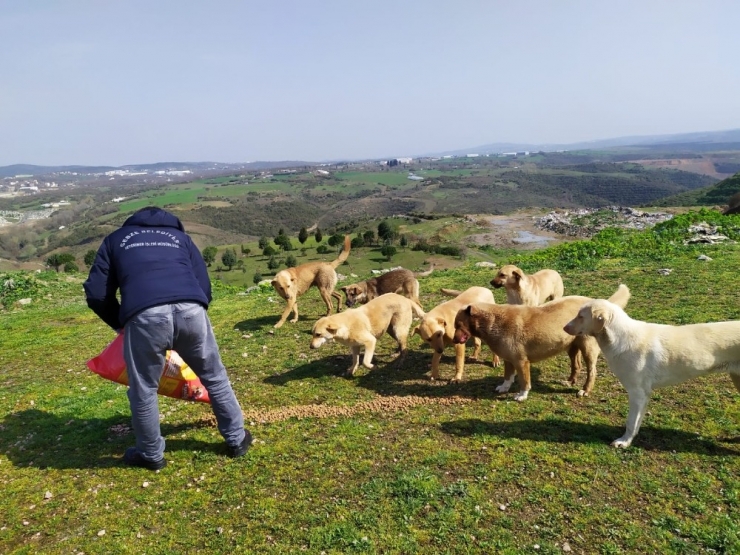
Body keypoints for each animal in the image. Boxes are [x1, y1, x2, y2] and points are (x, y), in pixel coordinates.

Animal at [568, 288, 740, 450]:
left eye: (581, 316)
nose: (564, 327)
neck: (620, 338)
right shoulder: (644, 394)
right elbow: (637, 423)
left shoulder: (637, 393)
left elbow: (631, 422)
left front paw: (624, 442)